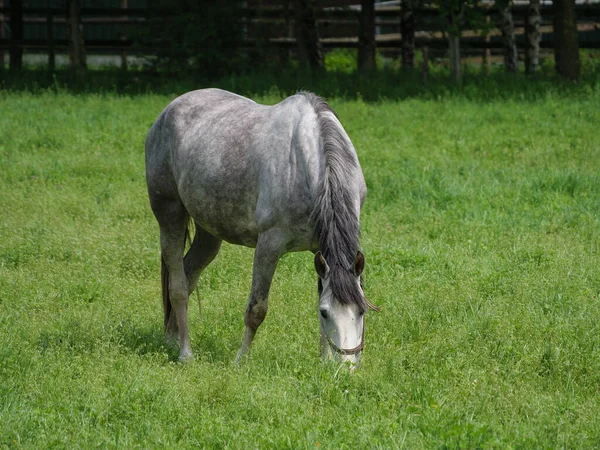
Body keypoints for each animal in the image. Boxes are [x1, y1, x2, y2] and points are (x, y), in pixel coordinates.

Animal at [145, 88, 378, 366]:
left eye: (361, 310)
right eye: (325, 313)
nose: (347, 367)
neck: (307, 166)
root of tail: (168, 111)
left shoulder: (319, 251)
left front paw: (323, 362)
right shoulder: (269, 245)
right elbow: (256, 309)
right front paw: (239, 361)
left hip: (208, 234)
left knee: (188, 276)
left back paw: (171, 338)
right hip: (170, 216)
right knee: (178, 287)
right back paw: (185, 352)